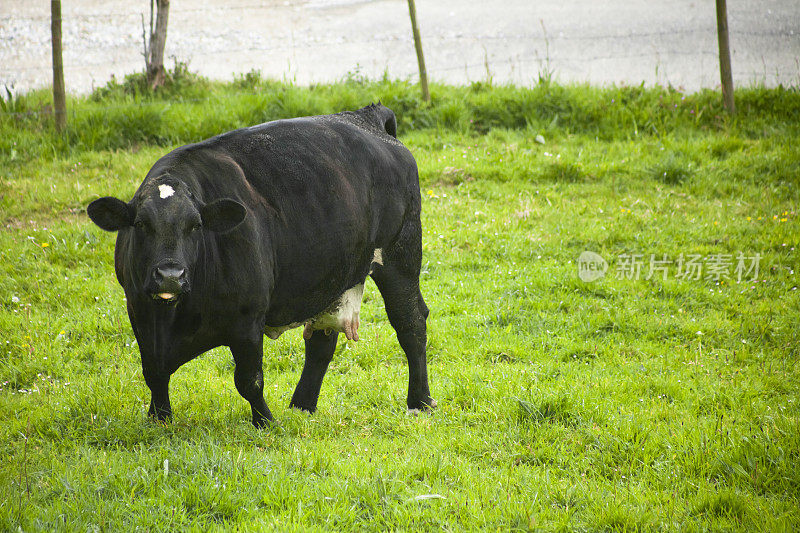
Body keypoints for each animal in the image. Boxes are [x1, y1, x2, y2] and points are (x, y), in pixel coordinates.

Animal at [86, 105, 434, 428]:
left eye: (195, 225)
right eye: (141, 225)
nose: (170, 275)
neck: (174, 318)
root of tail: (364, 116)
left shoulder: (247, 320)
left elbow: (249, 380)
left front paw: (265, 422)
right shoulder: (139, 312)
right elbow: (154, 374)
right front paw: (159, 418)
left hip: (400, 252)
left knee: (411, 322)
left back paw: (419, 402)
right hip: (331, 275)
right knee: (322, 342)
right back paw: (302, 406)